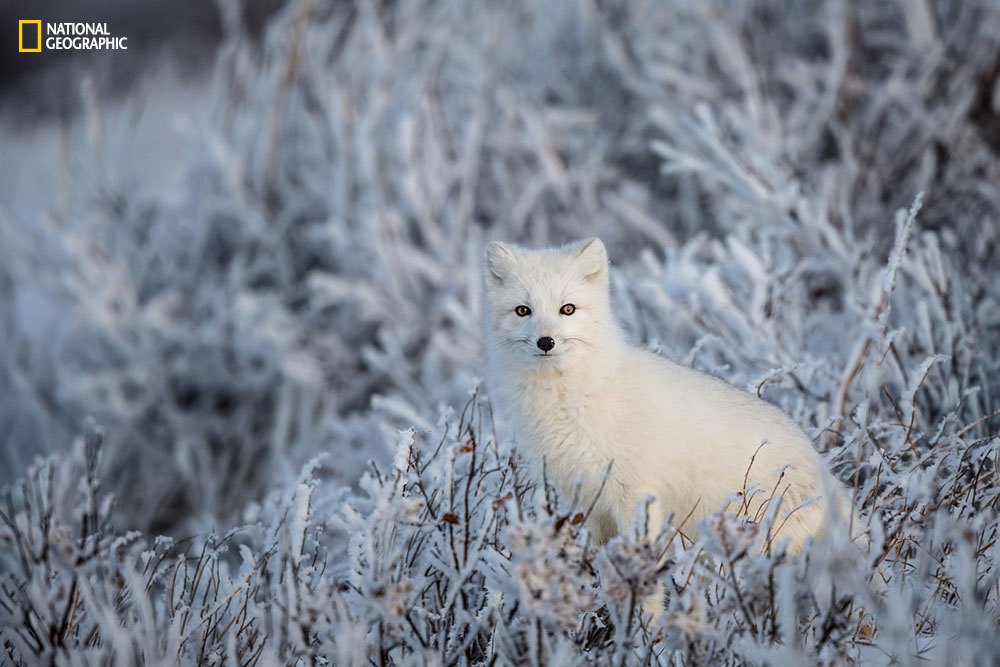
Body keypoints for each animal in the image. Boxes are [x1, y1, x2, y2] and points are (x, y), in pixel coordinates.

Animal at [484, 237, 852, 560]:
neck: (570, 399)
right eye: (522, 311)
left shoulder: (634, 493)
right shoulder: (586, 502)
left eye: (568, 309)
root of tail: (824, 472)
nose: (545, 342)